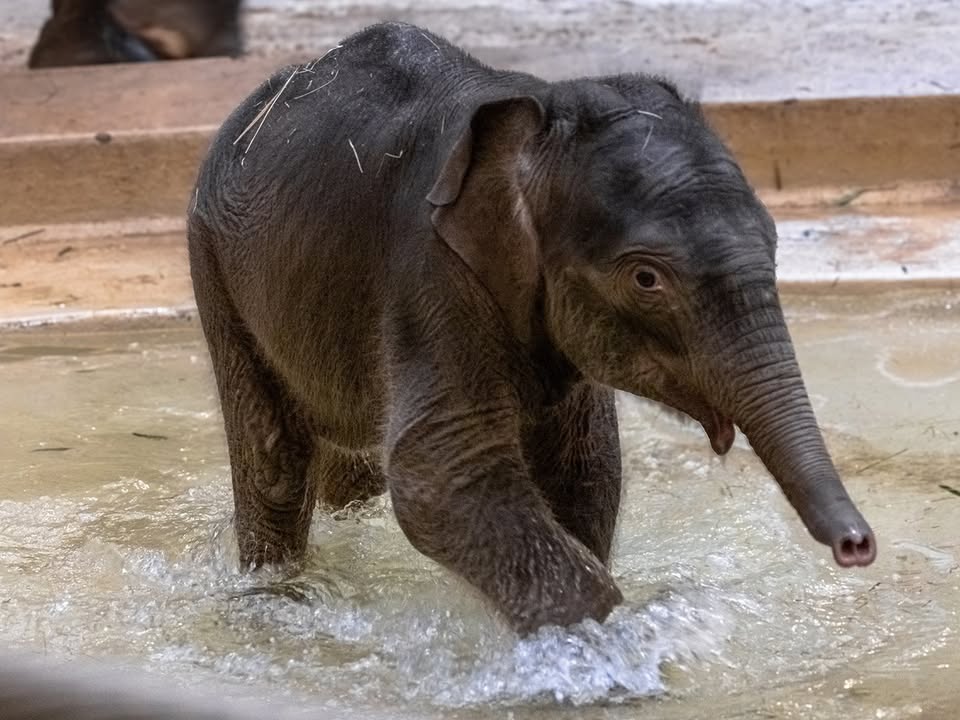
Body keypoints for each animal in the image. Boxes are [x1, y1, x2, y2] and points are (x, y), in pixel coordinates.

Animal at [188, 22, 876, 634]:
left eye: (775, 244)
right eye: (646, 279)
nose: (857, 546)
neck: (536, 110)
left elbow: (587, 465)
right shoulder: (430, 272)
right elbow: (437, 473)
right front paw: (600, 649)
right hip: (214, 262)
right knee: (274, 460)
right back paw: (275, 597)